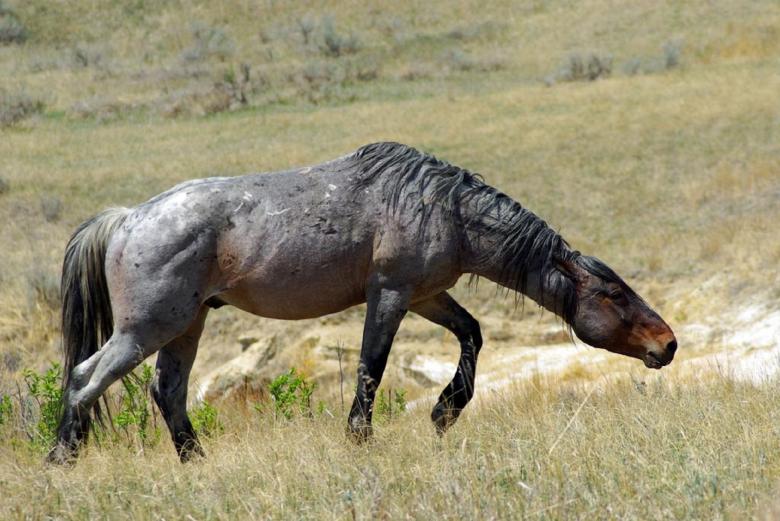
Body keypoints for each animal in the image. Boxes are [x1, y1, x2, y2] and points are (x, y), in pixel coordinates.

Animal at [48, 142, 677, 464]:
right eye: (613, 293)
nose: (668, 344)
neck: (442, 206)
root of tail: (127, 218)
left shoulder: (428, 295)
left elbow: (472, 335)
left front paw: (444, 412)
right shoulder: (392, 294)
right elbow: (371, 367)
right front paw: (360, 438)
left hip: (187, 325)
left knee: (166, 392)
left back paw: (195, 462)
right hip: (145, 330)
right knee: (84, 378)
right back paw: (62, 460)